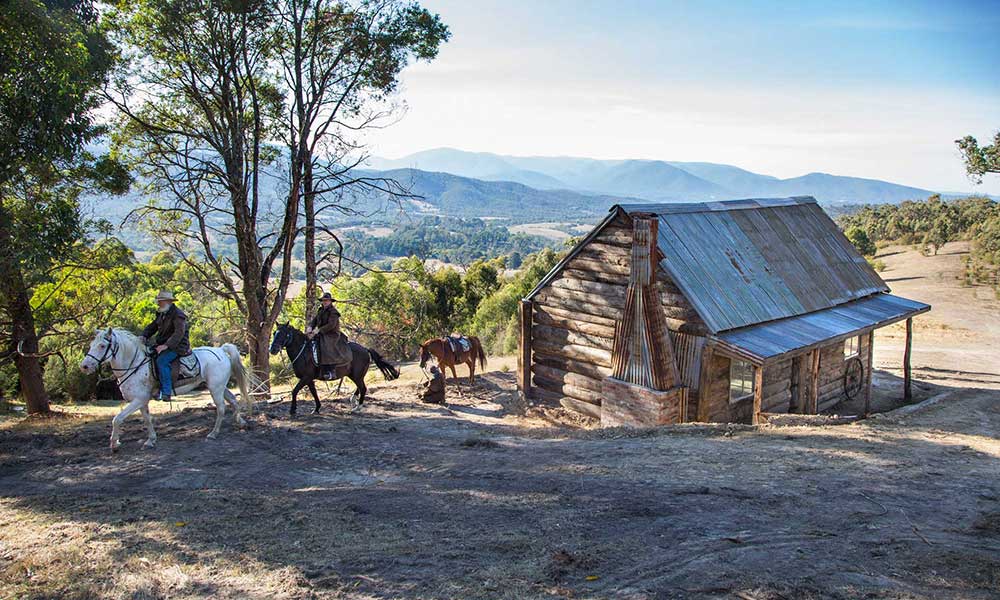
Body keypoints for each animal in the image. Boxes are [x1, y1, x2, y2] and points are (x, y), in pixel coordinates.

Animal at [81, 328, 254, 450]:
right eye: (91, 345)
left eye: (102, 345)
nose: (84, 366)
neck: (134, 364)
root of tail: (221, 350)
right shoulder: (142, 402)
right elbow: (147, 419)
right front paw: (150, 440)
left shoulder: (138, 400)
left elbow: (117, 419)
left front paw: (114, 444)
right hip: (219, 387)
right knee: (233, 401)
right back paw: (241, 422)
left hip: (215, 389)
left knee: (221, 408)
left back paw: (213, 433)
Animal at [274, 324, 402, 412]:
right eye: (275, 333)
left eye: (283, 334)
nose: (272, 349)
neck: (304, 351)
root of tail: (365, 349)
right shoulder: (309, 379)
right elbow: (314, 392)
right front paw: (316, 408)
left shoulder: (306, 377)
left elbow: (295, 390)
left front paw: (292, 410)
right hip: (354, 375)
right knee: (360, 387)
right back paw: (353, 400)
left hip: (356, 375)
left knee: (363, 388)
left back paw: (357, 407)